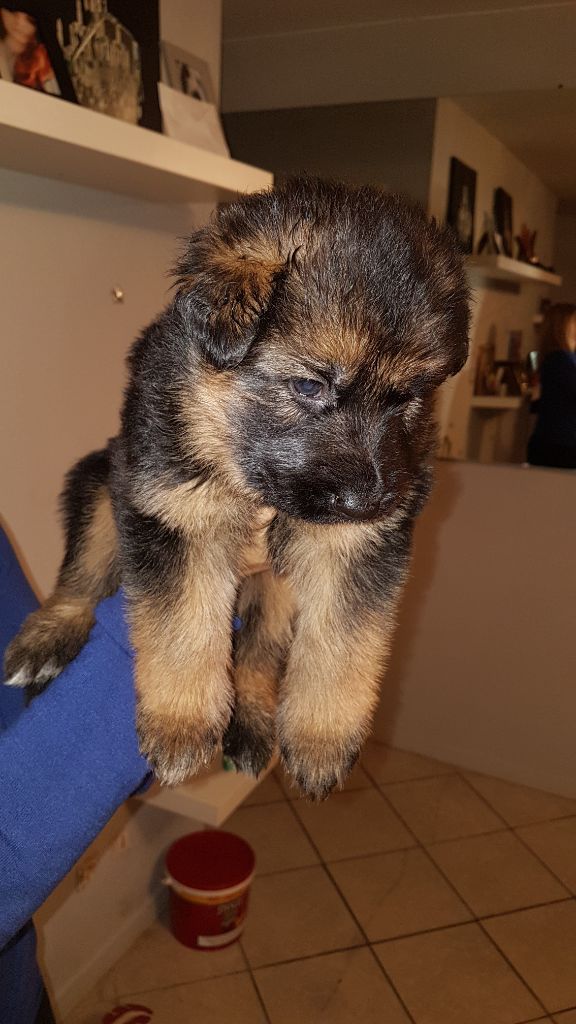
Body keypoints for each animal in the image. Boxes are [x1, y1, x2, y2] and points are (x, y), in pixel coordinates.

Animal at [4, 178, 469, 800]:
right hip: (101, 477)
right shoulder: (170, 505)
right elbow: (181, 622)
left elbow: (344, 640)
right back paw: (47, 637)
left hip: (271, 580)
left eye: (411, 398)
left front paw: (322, 738)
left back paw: (249, 722)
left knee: (258, 652)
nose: (368, 503)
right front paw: (180, 725)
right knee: (83, 569)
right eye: (309, 386)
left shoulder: (359, 545)